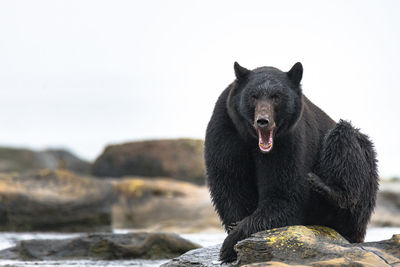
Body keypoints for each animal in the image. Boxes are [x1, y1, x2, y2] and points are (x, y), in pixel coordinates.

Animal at [206, 61, 378, 264]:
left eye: (276, 97)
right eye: (253, 96)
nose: (262, 121)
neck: (253, 141)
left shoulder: (290, 142)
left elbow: (285, 196)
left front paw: (231, 243)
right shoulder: (226, 131)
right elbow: (230, 185)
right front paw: (233, 236)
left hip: (363, 165)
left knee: (345, 139)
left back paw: (326, 187)